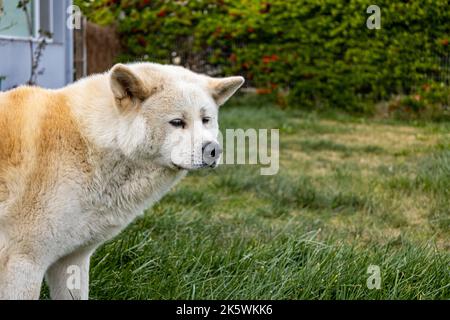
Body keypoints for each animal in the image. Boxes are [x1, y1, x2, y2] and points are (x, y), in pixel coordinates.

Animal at [0, 62, 243, 300]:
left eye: (206, 120)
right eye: (177, 122)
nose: (214, 150)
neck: (88, 142)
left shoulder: (71, 260)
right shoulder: (24, 261)